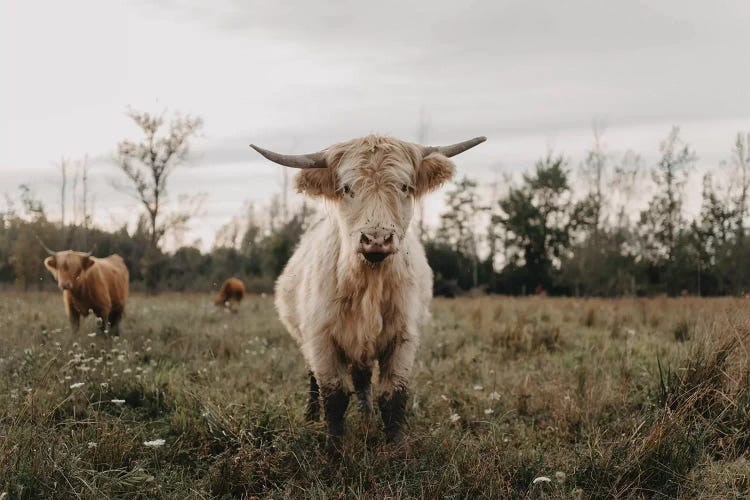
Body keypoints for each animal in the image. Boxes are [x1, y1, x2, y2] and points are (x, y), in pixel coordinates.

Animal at [253, 134, 488, 454]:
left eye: (404, 187)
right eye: (347, 188)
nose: (376, 239)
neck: (369, 282)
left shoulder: (403, 338)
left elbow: (393, 396)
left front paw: (398, 449)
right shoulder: (321, 339)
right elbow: (334, 396)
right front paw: (333, 451)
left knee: (362, 377)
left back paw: (365, 416)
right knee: (313, 378)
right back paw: (312, 415)